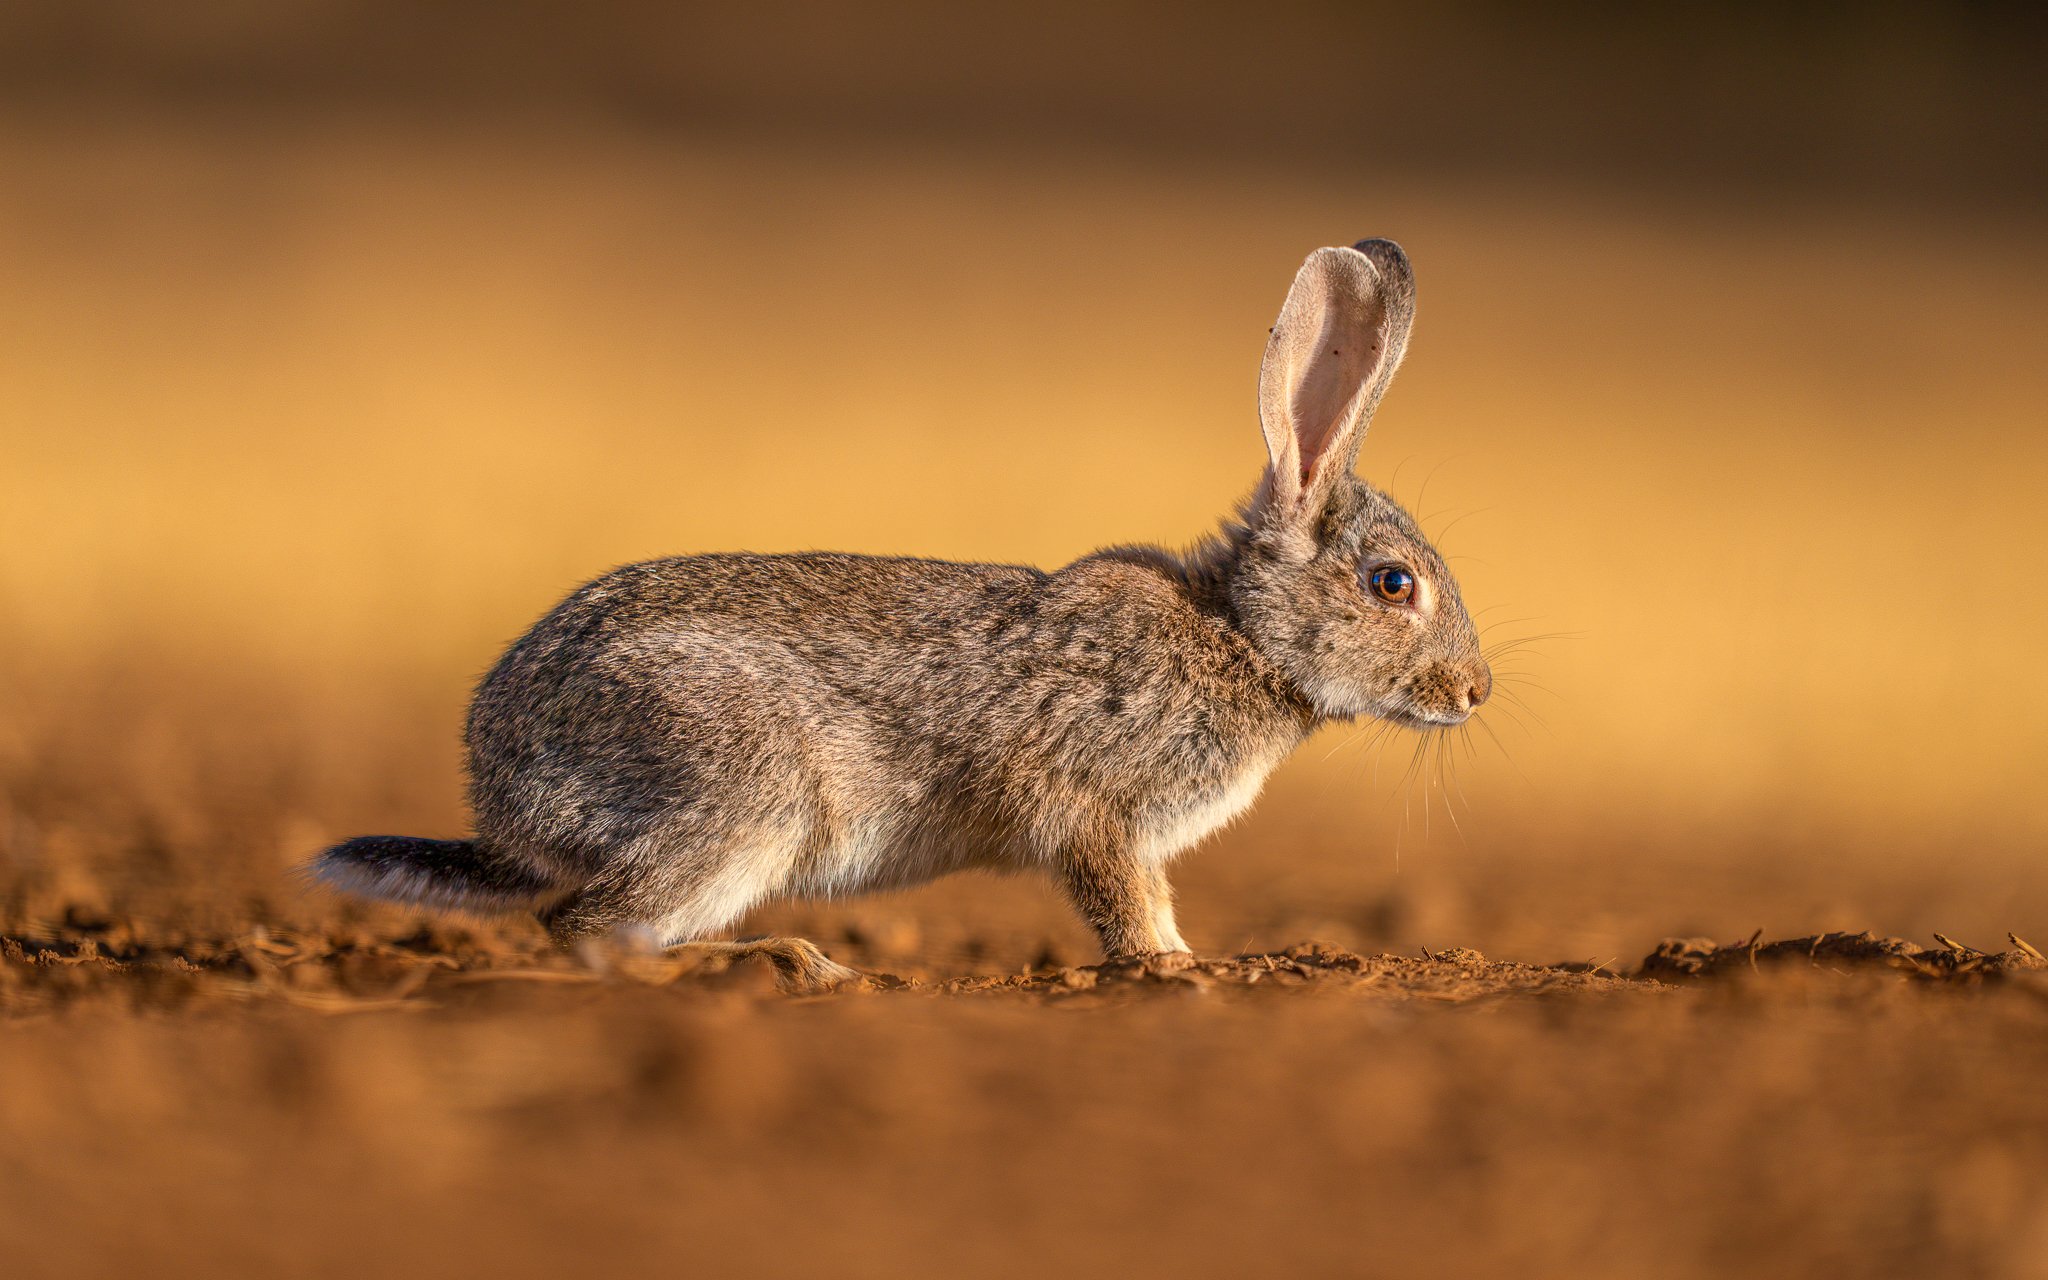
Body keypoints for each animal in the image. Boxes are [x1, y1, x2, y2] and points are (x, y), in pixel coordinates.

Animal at [311, 239, 1491, 987]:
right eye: (1393, 583)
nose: (1476, 691)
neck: (1239, 634)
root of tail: (504, 796)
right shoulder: (1089, 803)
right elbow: (1124, 899)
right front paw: (1174, 968)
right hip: (742, 796)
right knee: (588, 926)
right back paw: (782, 962)